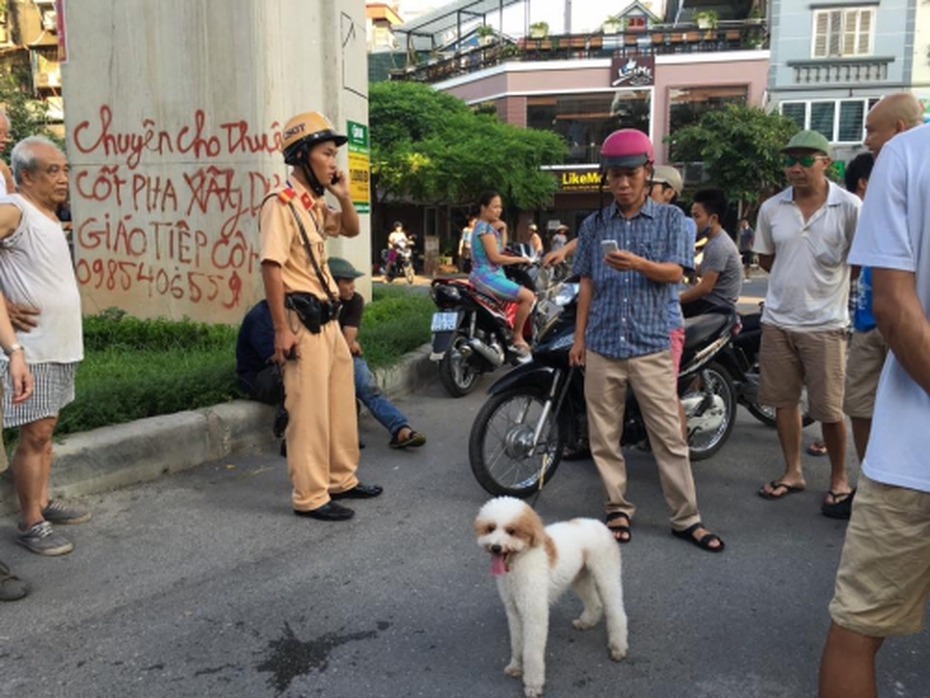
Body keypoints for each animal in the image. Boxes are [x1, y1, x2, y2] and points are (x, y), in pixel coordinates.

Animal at [474, 494, 628, 696]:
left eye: (511, 531)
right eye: (490, 528)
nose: (496, 547)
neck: (520, 561)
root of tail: (598, 524)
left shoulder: (535, 612)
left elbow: (532, 652)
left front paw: (533, 684)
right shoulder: (514, 611)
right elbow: (517, 642)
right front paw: (516, 666)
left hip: (606, 574)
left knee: (617, 612)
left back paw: (618, 647)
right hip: (579, 577)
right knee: (595, 603)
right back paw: (586, 622)